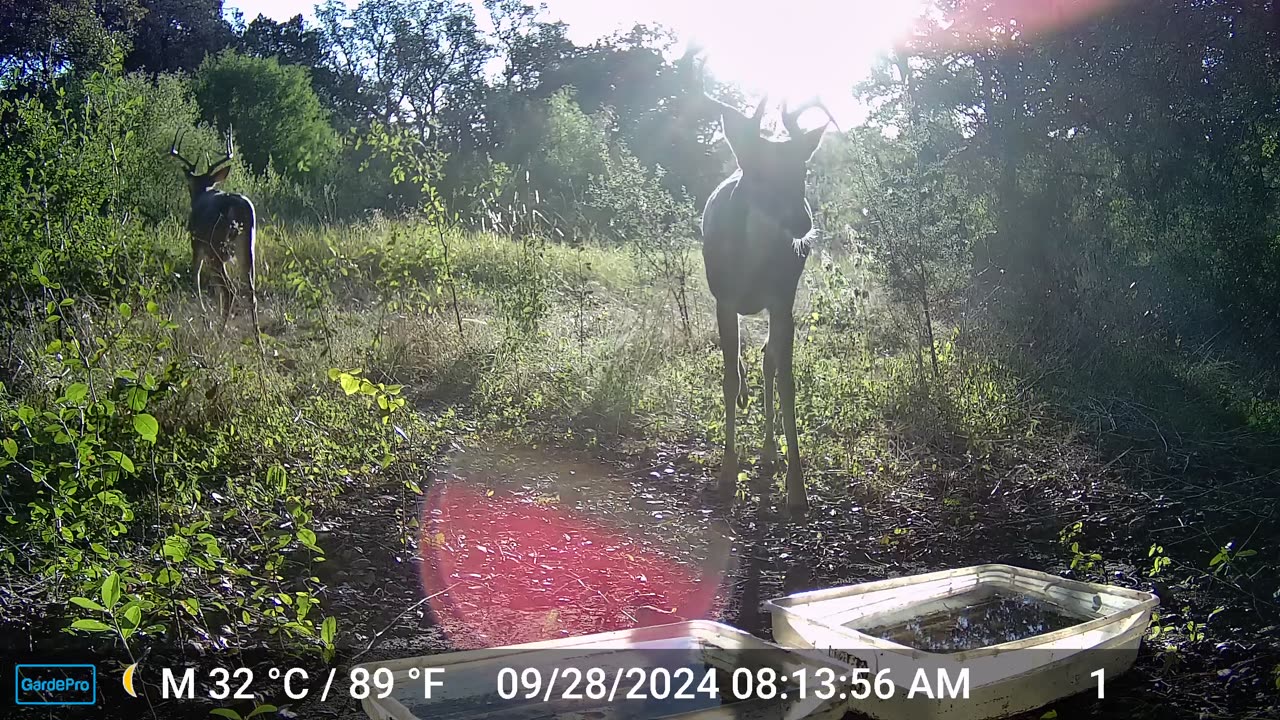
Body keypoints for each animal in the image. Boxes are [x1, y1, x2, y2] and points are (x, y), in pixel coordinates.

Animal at [168, 126, 261, 338]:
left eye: (189, 184)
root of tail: (237, 207)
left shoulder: (197, 244)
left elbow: (196, 278)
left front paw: (206, 320)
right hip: (247, 247)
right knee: (250, 291)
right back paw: (257, 338)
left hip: (215, 246)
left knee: (230, 290)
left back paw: (220, 332)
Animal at [701, 96, 829, 515]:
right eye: (756, 171)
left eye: (802, 169)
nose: (802, 222)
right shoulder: (724, 298)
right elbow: (728, 378)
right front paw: (726, 471)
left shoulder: (782, 300)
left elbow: (787, 382)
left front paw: (797, 488)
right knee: (745, 361)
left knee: (767, 360)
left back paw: (771, 450)